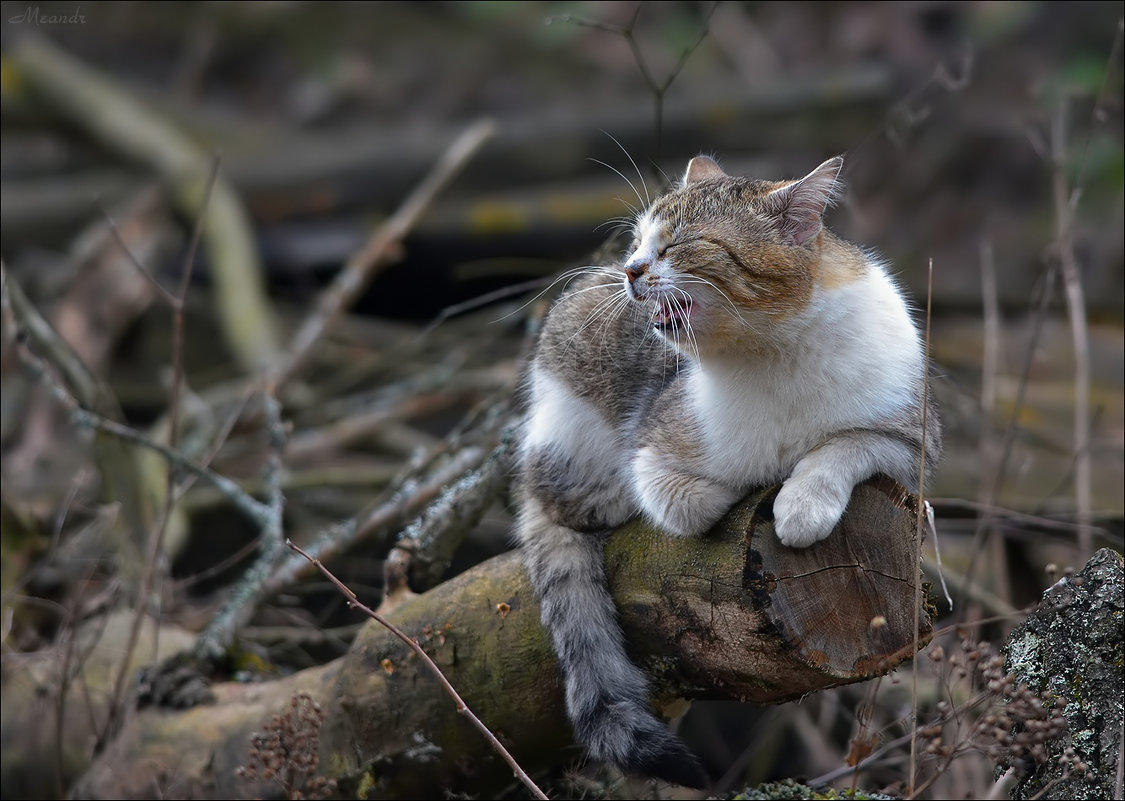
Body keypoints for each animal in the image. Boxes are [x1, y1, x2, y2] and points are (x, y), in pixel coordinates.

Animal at [515, 153, 940, 787]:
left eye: (678, 244)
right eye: (639, 241)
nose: (631, 269)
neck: (774, 351)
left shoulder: (914, 442)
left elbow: (845, 444)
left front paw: (802, 503)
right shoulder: (650, 447)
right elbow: (682, 500)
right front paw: (742, 487)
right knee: (560, 502)